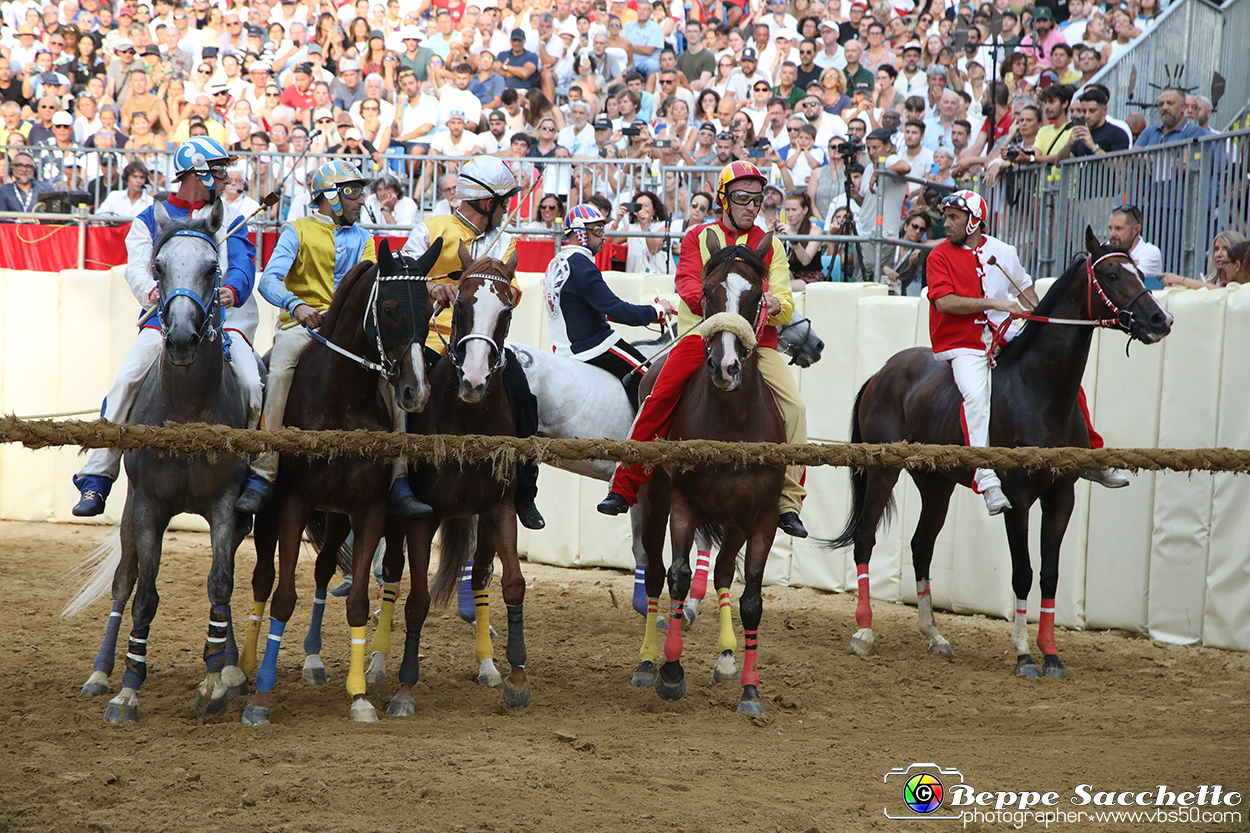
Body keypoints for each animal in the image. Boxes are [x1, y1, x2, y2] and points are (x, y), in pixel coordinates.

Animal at [238, 238, 440, 720]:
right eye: (389, 308)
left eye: (429, 309)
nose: (415, 391)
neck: (340, 400)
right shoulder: (293, 505)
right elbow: (282, 596)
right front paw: (261, 698)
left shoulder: (367, 510)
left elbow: (358, 601)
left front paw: (360, 697)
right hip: (271, 514)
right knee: (262, 580)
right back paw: (246, 667)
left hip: (336, 516)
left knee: (325, 568)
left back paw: (312, 660)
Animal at [365, 243, 535, 710]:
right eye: (460, 304)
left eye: (506, 311)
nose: (474, 379)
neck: (466, 420)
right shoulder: (423, 520)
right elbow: (417, 601)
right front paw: (405, 687)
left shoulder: (499, 508)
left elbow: (512, 584)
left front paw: (516, 677)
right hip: (397, 522)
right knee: (391, 576)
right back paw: (379, 661)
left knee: (478, 577)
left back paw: (488, 665)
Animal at [635, 230, 780, 710]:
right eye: (708, 292)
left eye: (755, 296)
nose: (726, 366)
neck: (731, 423)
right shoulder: (683, 503)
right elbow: (678, 577)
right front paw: (671, 671)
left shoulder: (762, 517)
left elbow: (751, 598)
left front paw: (750, 688)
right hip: (652, 504)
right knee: (655, 574)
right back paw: (647, 663)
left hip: (734, 523)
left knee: (720, 572)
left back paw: (728, 659)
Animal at [830, 225, 1170, 675]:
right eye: (1112, 274)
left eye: (1140, 271)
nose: (1159, 319)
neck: (1039, 389)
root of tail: (882, 372)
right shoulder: (1020, 498)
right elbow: (1022, 573)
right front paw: (1025, 653)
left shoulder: (1061, 497)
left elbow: (1049, 575)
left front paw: (1051, 654)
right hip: (884, 473)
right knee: (866, 540)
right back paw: (864, 631)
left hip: (936, 485)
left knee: (921, 547)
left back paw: (934, 635)